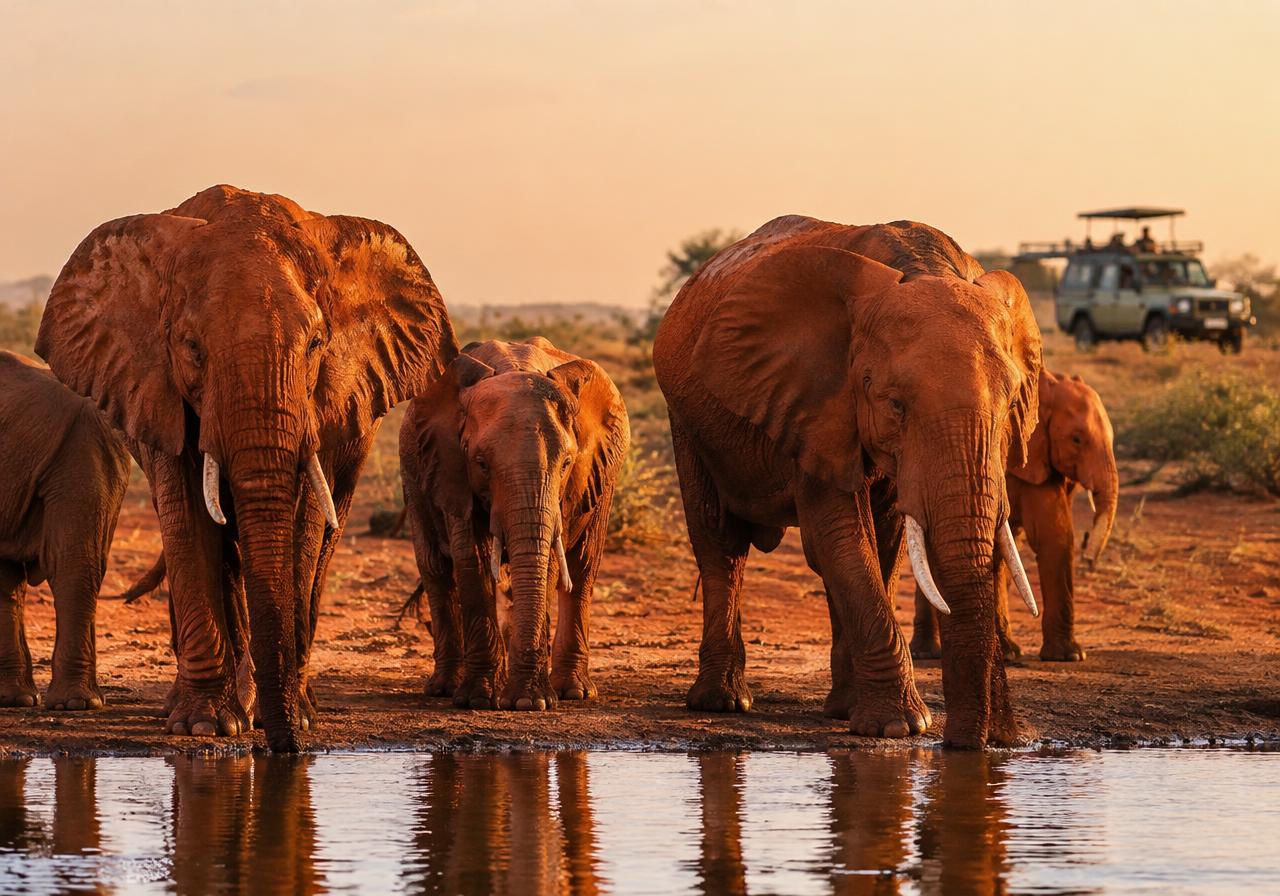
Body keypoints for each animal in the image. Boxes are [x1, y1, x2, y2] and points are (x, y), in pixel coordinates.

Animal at [36, 185, 458, 751]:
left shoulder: (322, 404)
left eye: (317, 344)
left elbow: (302, 527)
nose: (285, 749)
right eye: (192, 348)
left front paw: (295, 719)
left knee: (322, 543)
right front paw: (204, 724)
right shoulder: (158, 389)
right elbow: (188, 519)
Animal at [400, 337, 629, 710]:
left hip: (605, 480)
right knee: (435, 567)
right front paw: (479, 699)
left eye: (567, 463)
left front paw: (529, 702)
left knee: (583, 565)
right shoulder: (450, 465)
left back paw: (574, 692)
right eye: (480, 463)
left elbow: (550, 561)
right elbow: (472, 561)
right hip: (413, 473)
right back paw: (445, 688)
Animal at [652, 215, 1043, 748]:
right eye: (895, 404)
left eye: (1011, 405)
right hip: (687, 420)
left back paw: (839, 708)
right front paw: (901, 726)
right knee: (720, 543)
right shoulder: (812, 401)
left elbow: (884, 542)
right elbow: (839, 536)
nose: (992, 740)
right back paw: (722, 702)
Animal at [913, 368, 1118, 662]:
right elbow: (1048, 537)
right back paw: (925, 652)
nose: (1089, 557)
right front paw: (1063, 656)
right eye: (1077, 439)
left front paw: (1069, 656)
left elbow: (1053, 538)